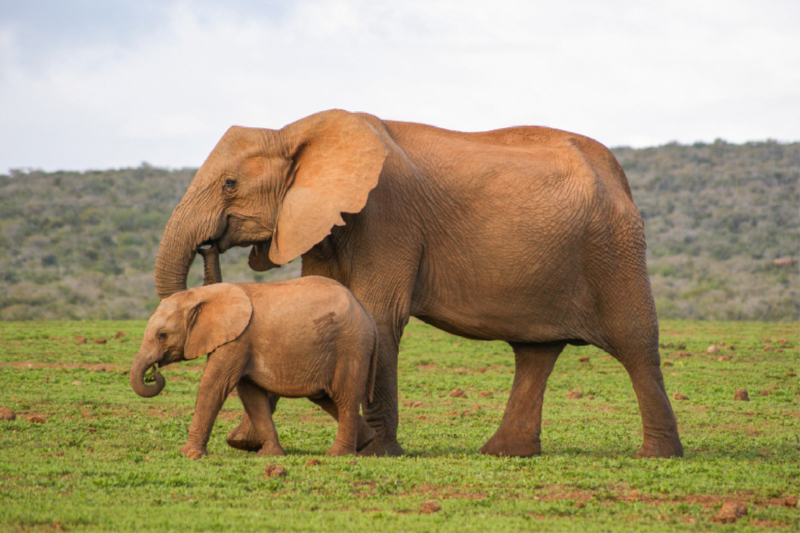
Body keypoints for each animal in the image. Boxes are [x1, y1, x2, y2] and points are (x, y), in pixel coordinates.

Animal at [130, 274, 380, 458]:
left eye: (162, 335)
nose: (154, 373)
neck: (203, 294)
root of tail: (368, 315)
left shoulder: (237, 340)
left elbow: (214, 385)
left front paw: (189, 455)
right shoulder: (241, 344)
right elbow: (251, 396)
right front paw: (271, 455)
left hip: (351, 347)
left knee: (345, 396)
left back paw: (338, 455)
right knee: (325, 397)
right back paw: (367, 441)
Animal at [155, 108, 680, 458]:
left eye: (229, 185)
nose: (208, 246)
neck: (297, 130)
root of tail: (620, 177)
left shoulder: (386, 214)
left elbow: (377, 312)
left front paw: (375, 451)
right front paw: (246, 443)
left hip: (615, 250)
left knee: (636, 344)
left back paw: (657, 455)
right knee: (535, 352)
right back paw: (504, 453)